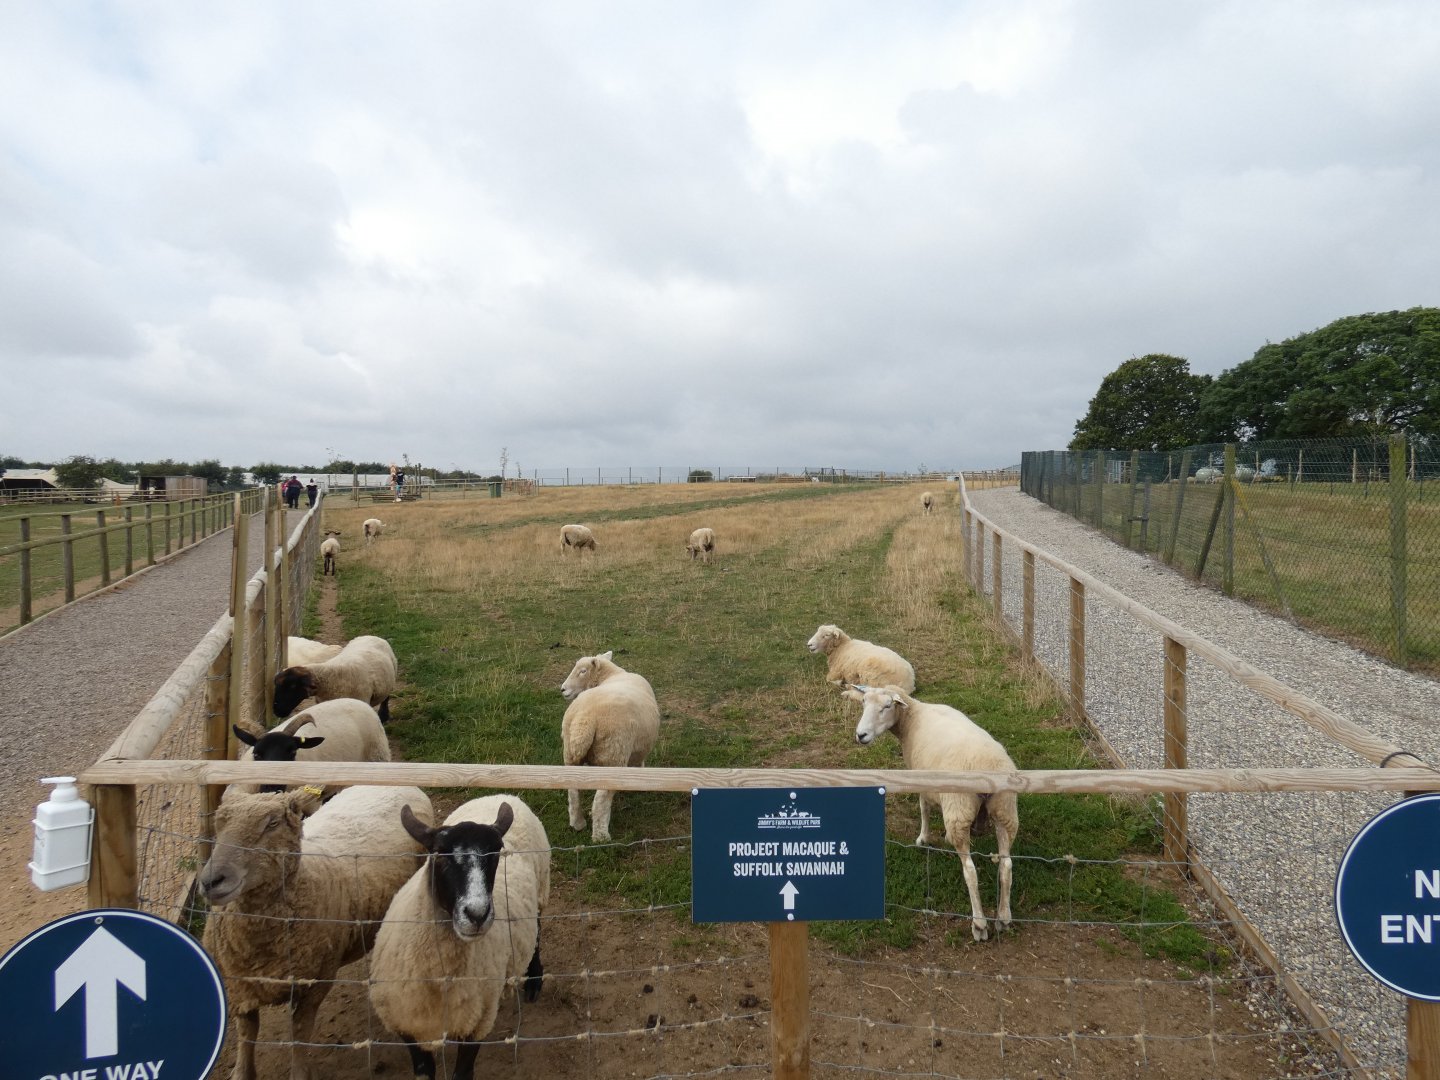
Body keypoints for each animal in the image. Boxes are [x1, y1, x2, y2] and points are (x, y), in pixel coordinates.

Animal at [200, 784, 433, 1080]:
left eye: (272, 823)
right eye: (219, 824)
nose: (210, 881)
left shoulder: (317, 981)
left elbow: (300, 1033)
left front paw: (299, 1072)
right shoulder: (240, 985)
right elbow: (247, 1034)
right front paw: (242, 1072)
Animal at [369, 795, 551, 1080]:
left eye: (497, 851)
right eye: (438, 854)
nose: (477, 914)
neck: (440, 978)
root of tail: (504, 796)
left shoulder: (476, 1024)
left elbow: (462, 1073)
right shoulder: (406, 1027)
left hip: (541, 889)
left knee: (538, 931)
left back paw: (533, 979)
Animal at [558, 650, 661, 842]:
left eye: (582, 671)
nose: (563, 689)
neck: (613, 674)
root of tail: (585, 718)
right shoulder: (638, 750)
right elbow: (639, 763)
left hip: (570, 751)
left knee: (573, 791)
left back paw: (577, 824)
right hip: (613, 753)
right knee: (601, 799)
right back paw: (601, 836)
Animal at [843, 684, 1019, 941]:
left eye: (887, 706)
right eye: (863, 702)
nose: (861, 735)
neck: (913, 715)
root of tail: (986, 768)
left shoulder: (921, 777)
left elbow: (923, 807)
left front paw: (923, 838)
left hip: (958, 809)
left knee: (970, 872)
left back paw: (979, 925)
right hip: (1005, 810)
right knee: (1006, 866)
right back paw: (1004, 918)